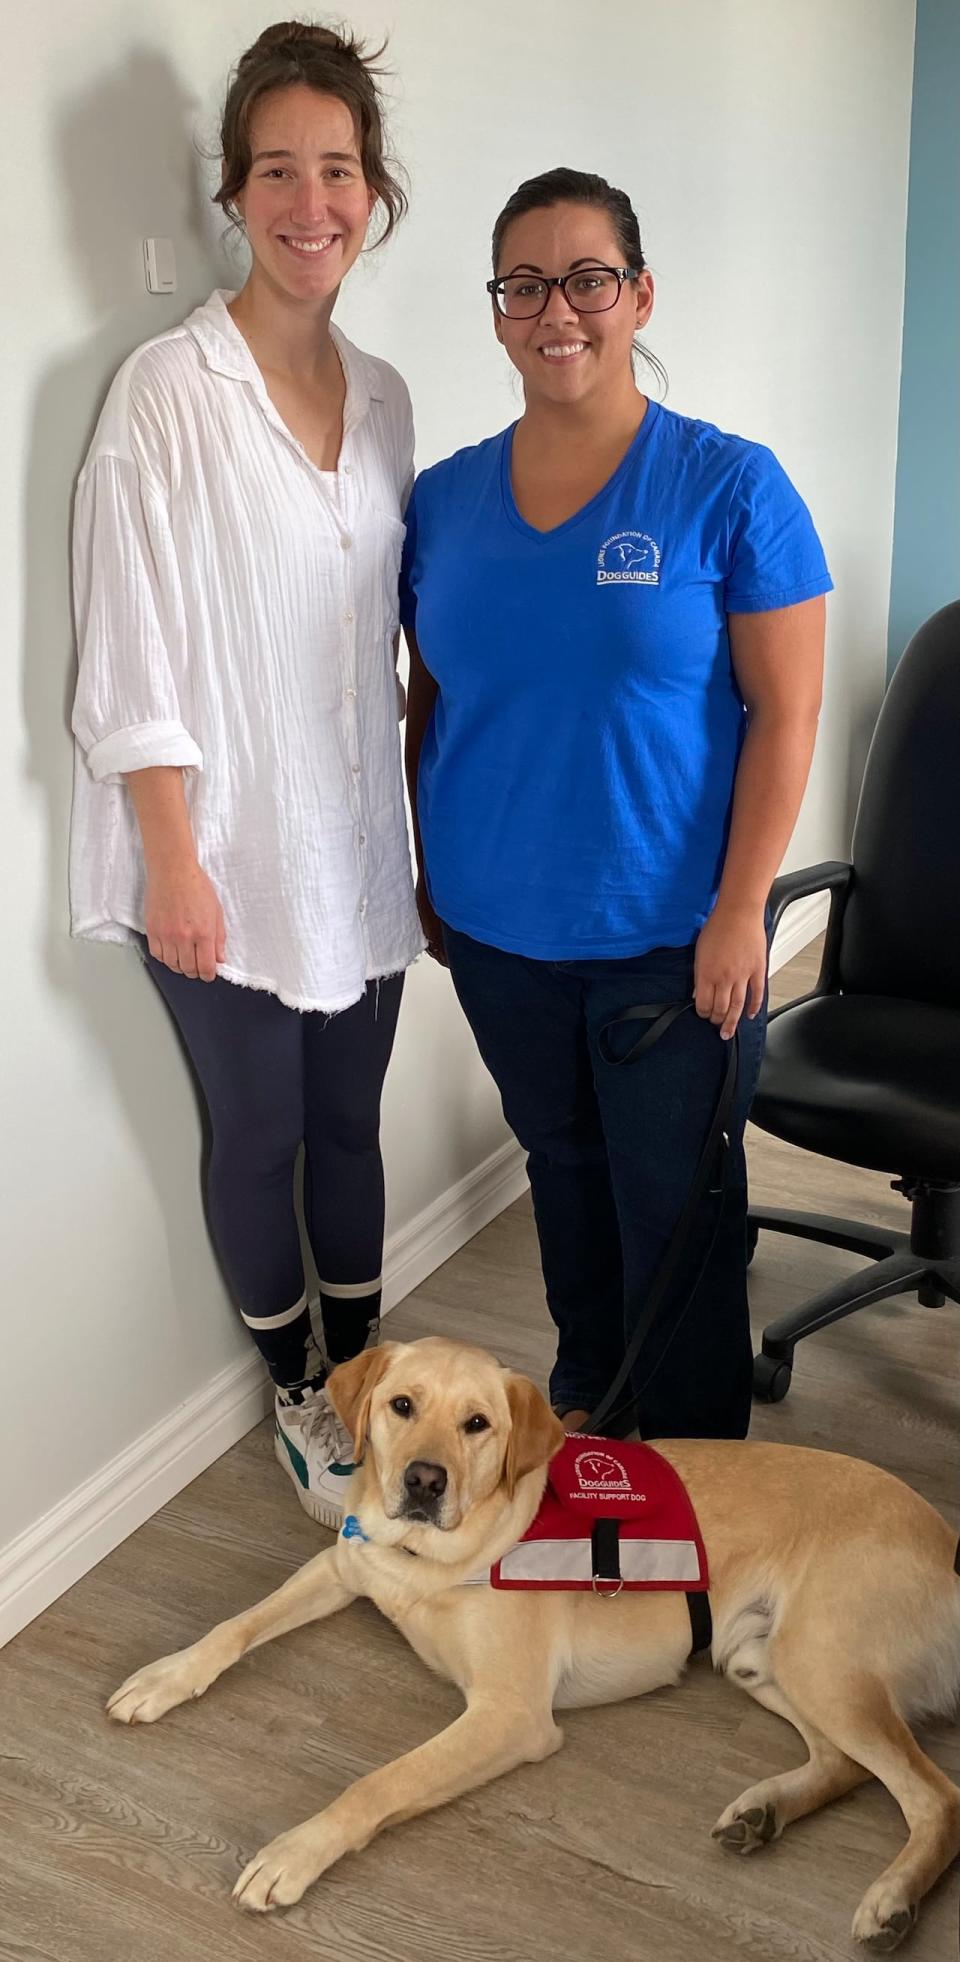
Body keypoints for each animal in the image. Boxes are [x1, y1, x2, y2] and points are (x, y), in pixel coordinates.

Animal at [108, 1334, 954, 1946]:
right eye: (402, 1405)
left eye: (478, 1424)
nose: (422, 1481)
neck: (429, 1555)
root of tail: (946, 1536)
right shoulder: (342, 1565)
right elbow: (235, 1624)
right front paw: (165, 1676)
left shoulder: (509, 1715)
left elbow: (380, 1782)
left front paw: (294, 1852)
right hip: (759, 1657)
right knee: (848, 1765)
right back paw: (764, 1814)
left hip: (819, 1661)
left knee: (933, 1793)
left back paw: (892, 1900)